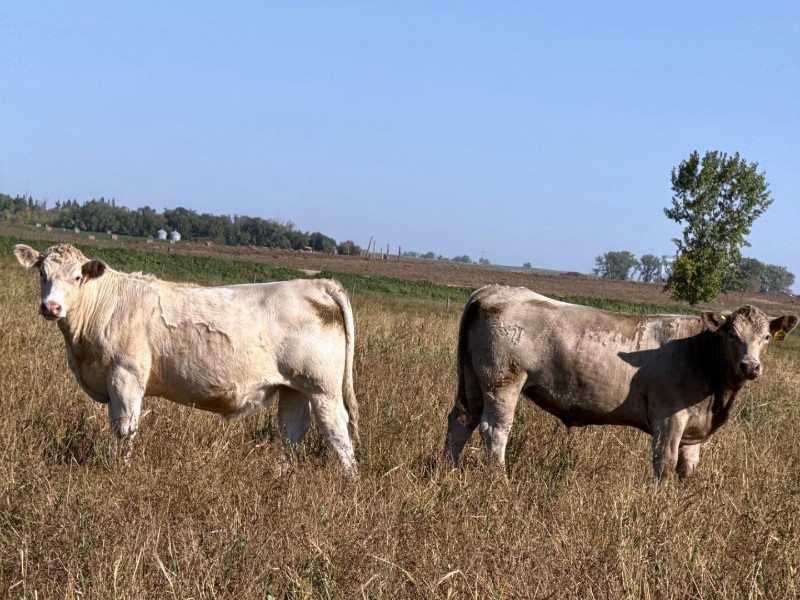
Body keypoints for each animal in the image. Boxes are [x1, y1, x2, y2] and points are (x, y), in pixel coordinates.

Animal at [14, 243, 359, 478]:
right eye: (42, 273)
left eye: (76, 277)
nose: (51, 307)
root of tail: (317, 284)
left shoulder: (125, 376)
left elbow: (125, 427)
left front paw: (119, 471)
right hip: (294, 388)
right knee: (291, 431)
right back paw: (279, 477)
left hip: (323, 389)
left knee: (337, 432)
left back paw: (349, 484)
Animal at [444, 285, 798, 482]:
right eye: (731, 334)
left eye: (766, 337)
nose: (750, 366)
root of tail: (494, 291)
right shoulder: (669, 417)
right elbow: (665, 464)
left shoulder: (695, 426)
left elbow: (687, 468)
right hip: (503, 382)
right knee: (494, 431)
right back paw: (499, 481)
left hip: (473, 380)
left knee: (462, 420)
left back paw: (448, 472)